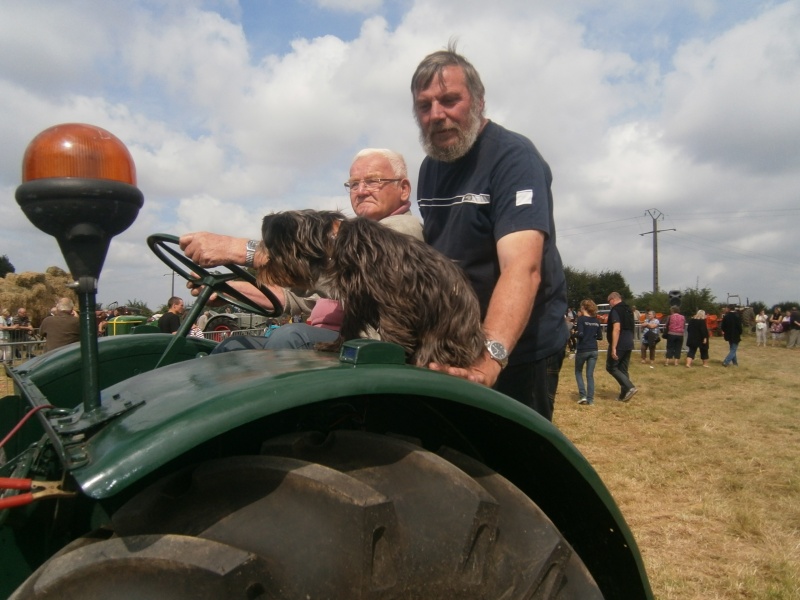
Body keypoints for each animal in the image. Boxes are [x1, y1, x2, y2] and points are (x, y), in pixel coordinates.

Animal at [258, 209, 482, 368]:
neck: (335, 240)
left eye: (270, 246)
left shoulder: (394, 302)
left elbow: (392, 331)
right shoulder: (357, 298)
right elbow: (347, 326)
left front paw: (392, 354)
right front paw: (335, 346)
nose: (261, 267)